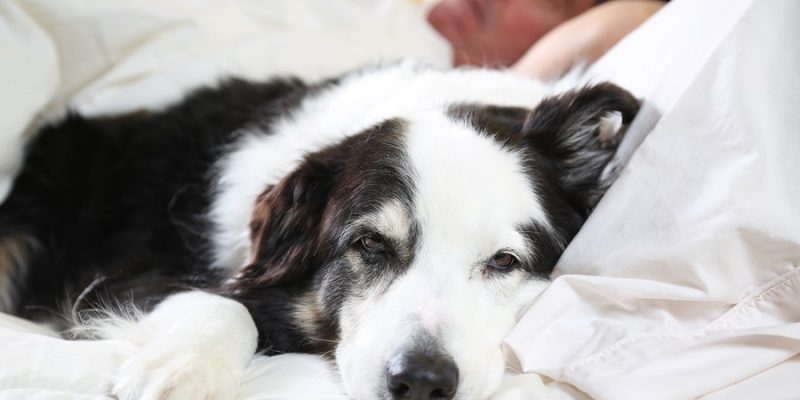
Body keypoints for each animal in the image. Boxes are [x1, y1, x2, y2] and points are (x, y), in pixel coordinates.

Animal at [0, 63, 636, 400]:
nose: (421, 383)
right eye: (369, 244)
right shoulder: (117, 275)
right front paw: (181, 373)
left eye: (505, 261)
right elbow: (225, 303)